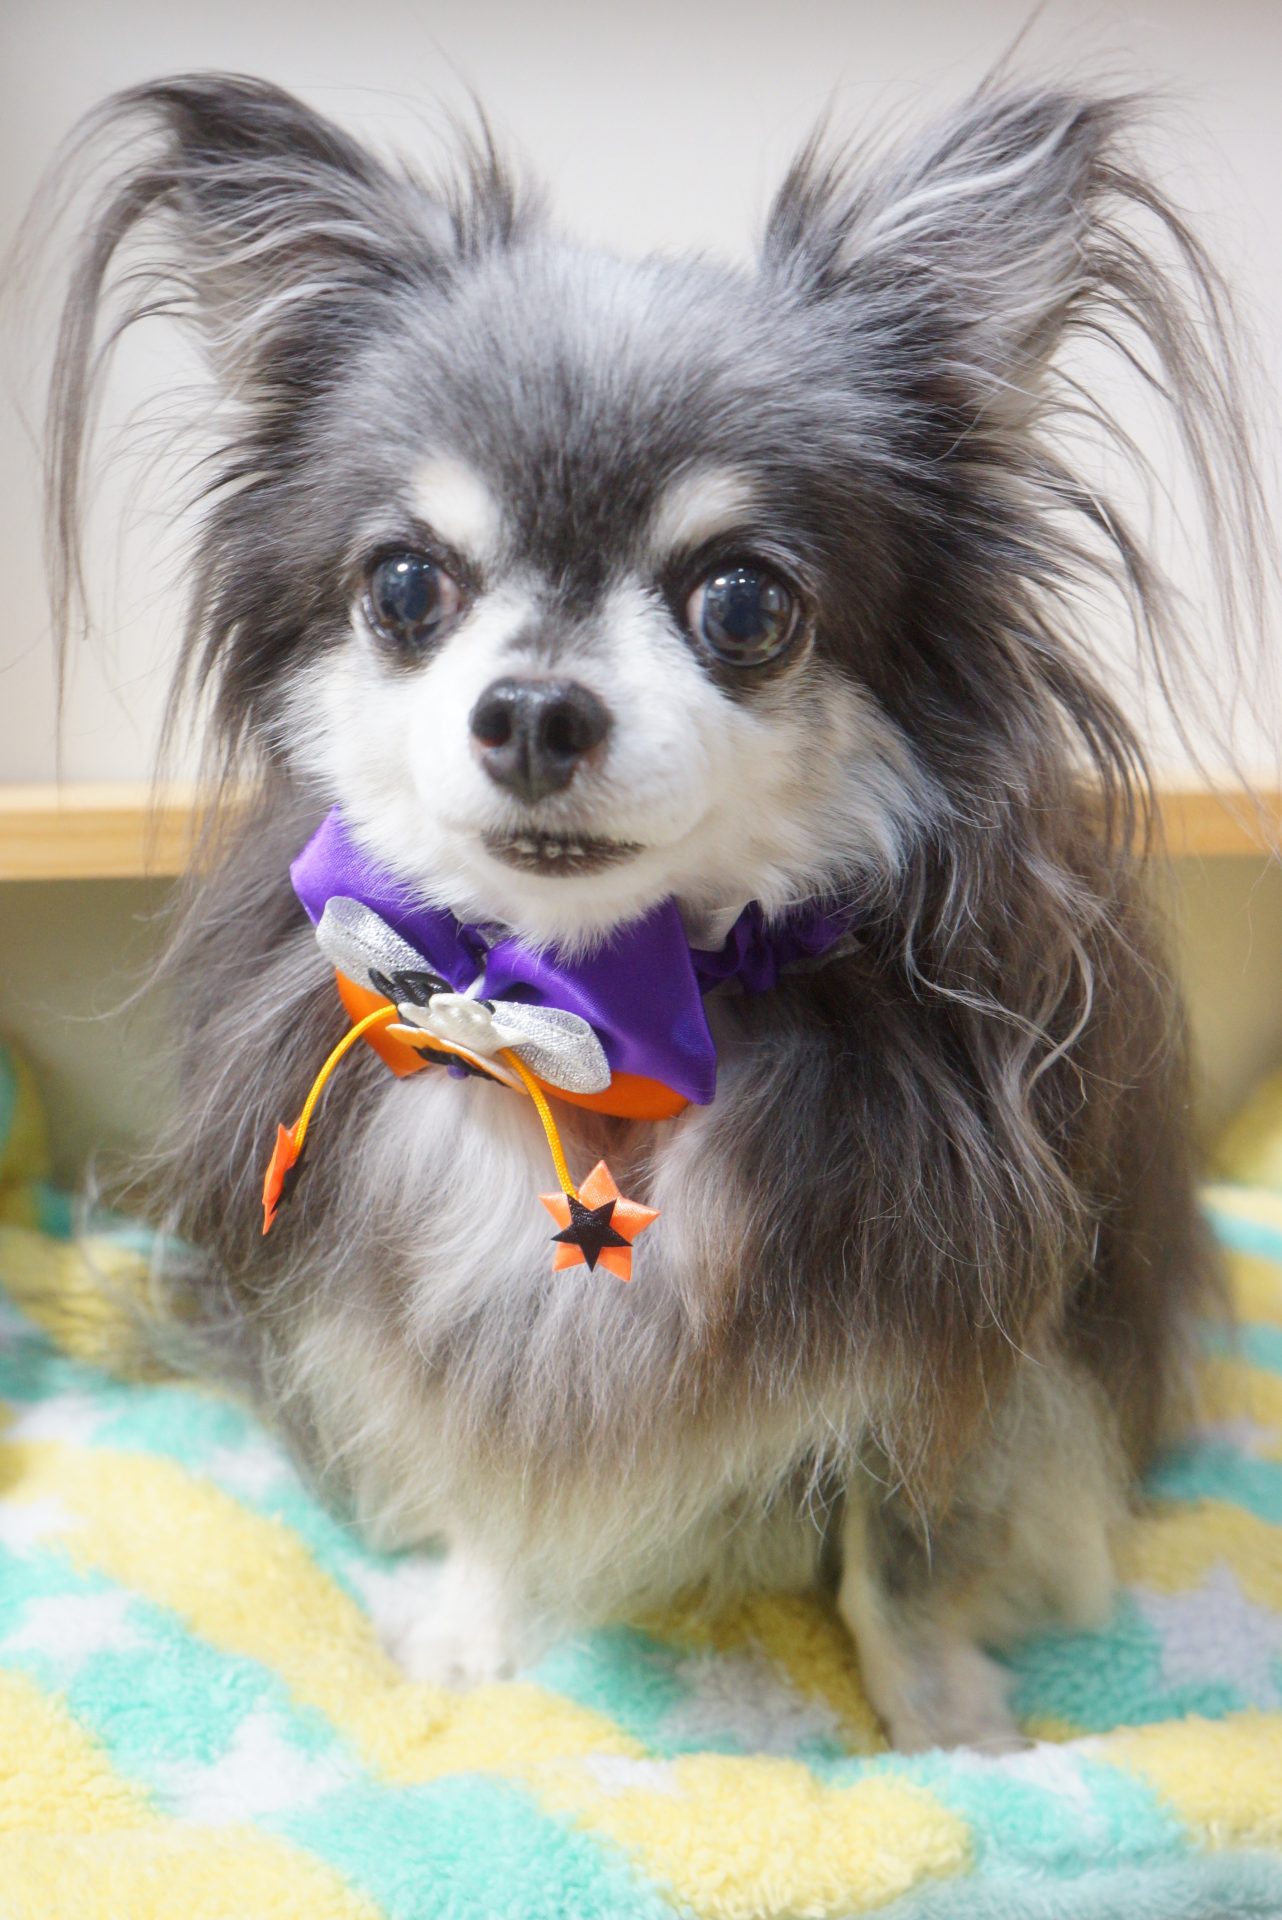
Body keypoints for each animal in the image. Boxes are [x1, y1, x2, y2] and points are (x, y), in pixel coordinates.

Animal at [39, 70, 1268, 1750]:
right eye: (404, 586)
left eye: (743, 604)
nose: (533, 711)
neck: (602, 1002)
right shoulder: (444, 1298)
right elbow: (481, 1451)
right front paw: (473, 1630)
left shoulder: (956, 1333)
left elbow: (900, 1546)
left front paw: (939, 1724)